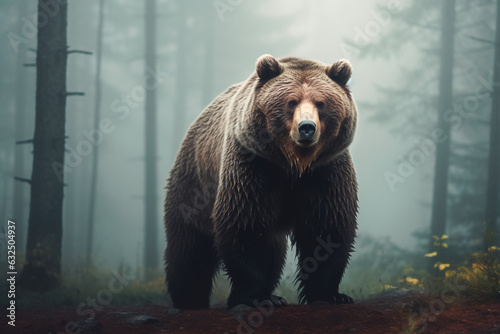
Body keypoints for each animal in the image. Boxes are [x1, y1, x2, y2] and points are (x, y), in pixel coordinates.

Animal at [166, 54, 358, 310]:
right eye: (291, 102)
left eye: (321, 103)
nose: (307, 128)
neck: (293, 164)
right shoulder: (253, 164)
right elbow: (246, 225)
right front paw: (255, 296)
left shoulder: (325, 171)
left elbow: (327, 227)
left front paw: (331, 294)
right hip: (195, 181)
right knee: (189, 247)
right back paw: (188, 298)